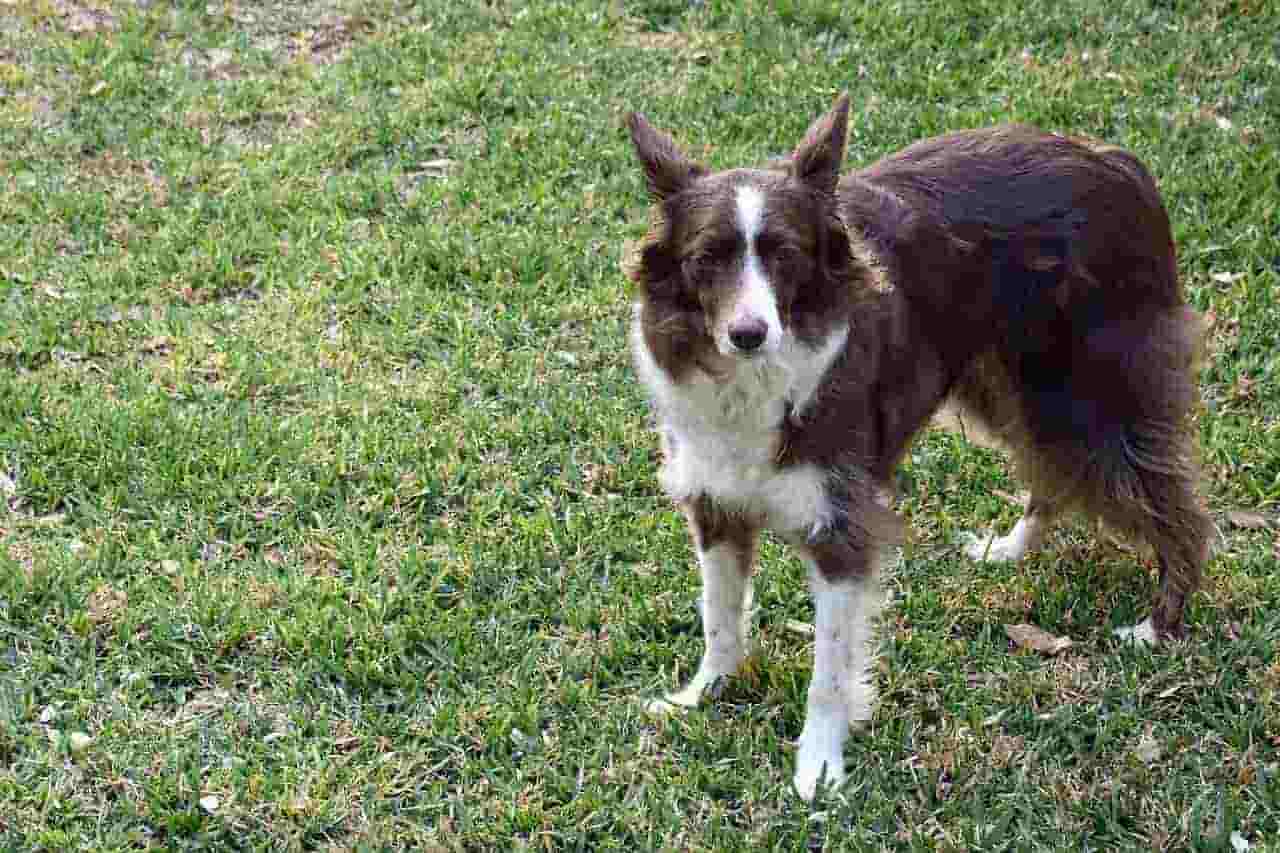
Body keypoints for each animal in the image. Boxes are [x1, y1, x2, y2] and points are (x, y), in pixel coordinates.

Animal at [619, 92, 1208, 799]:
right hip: (1014, 386)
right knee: (1052, 472)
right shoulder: (715, 502)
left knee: (1178, 509)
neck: (752, 379)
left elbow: (830, 669)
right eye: (706, 259)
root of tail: (1116, 161)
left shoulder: (842, 526)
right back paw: (1013, 548)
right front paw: (706, 694)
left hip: (1093, 395)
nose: (748, 333)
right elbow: (719, 614)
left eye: (785, 255)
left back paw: (1158, 624)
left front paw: (819, 767)